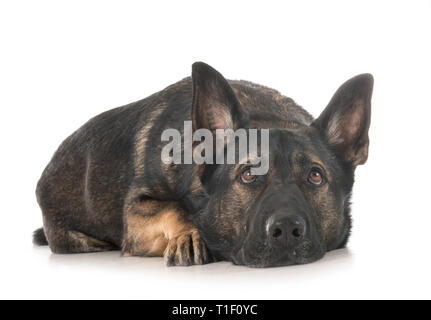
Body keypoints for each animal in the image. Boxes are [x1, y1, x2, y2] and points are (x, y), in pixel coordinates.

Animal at [33, 62, 372, 268]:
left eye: (315, 176)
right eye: (248, 175)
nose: (287, 228)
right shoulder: (137, 212)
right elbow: (173, 208)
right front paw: (191, 235)